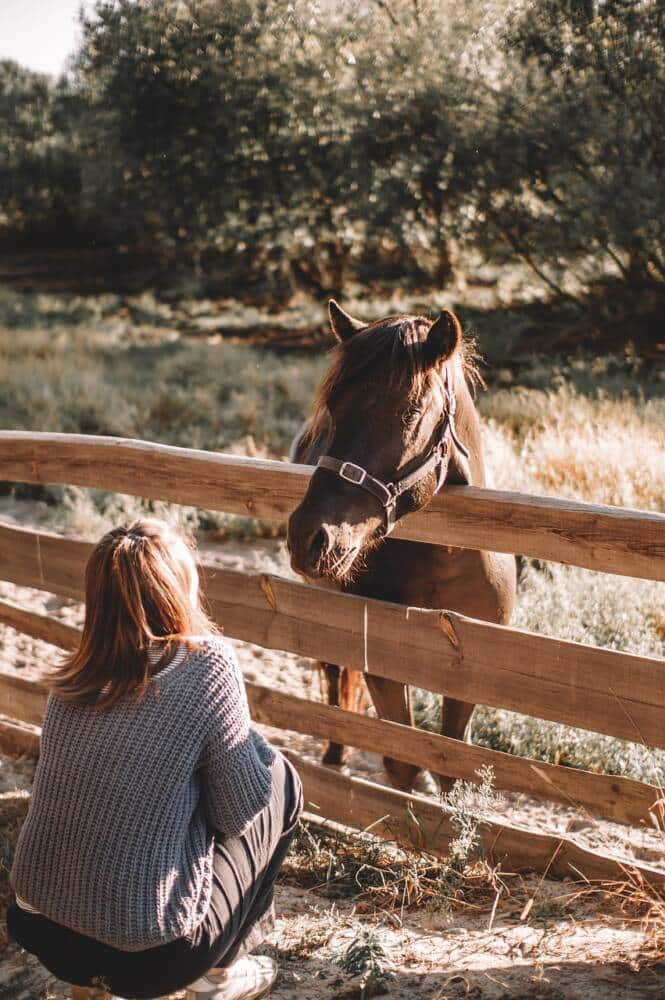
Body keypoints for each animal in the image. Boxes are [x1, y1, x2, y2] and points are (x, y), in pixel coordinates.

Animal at [284, 300, 512, 792]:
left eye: (409, 413)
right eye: (333, 408)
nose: (309, 537)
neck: (444, 558)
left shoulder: (471, 670)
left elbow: (450, 768)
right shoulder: (385, 670)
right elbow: (403, 762)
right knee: (333, 676)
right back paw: (335, 752)